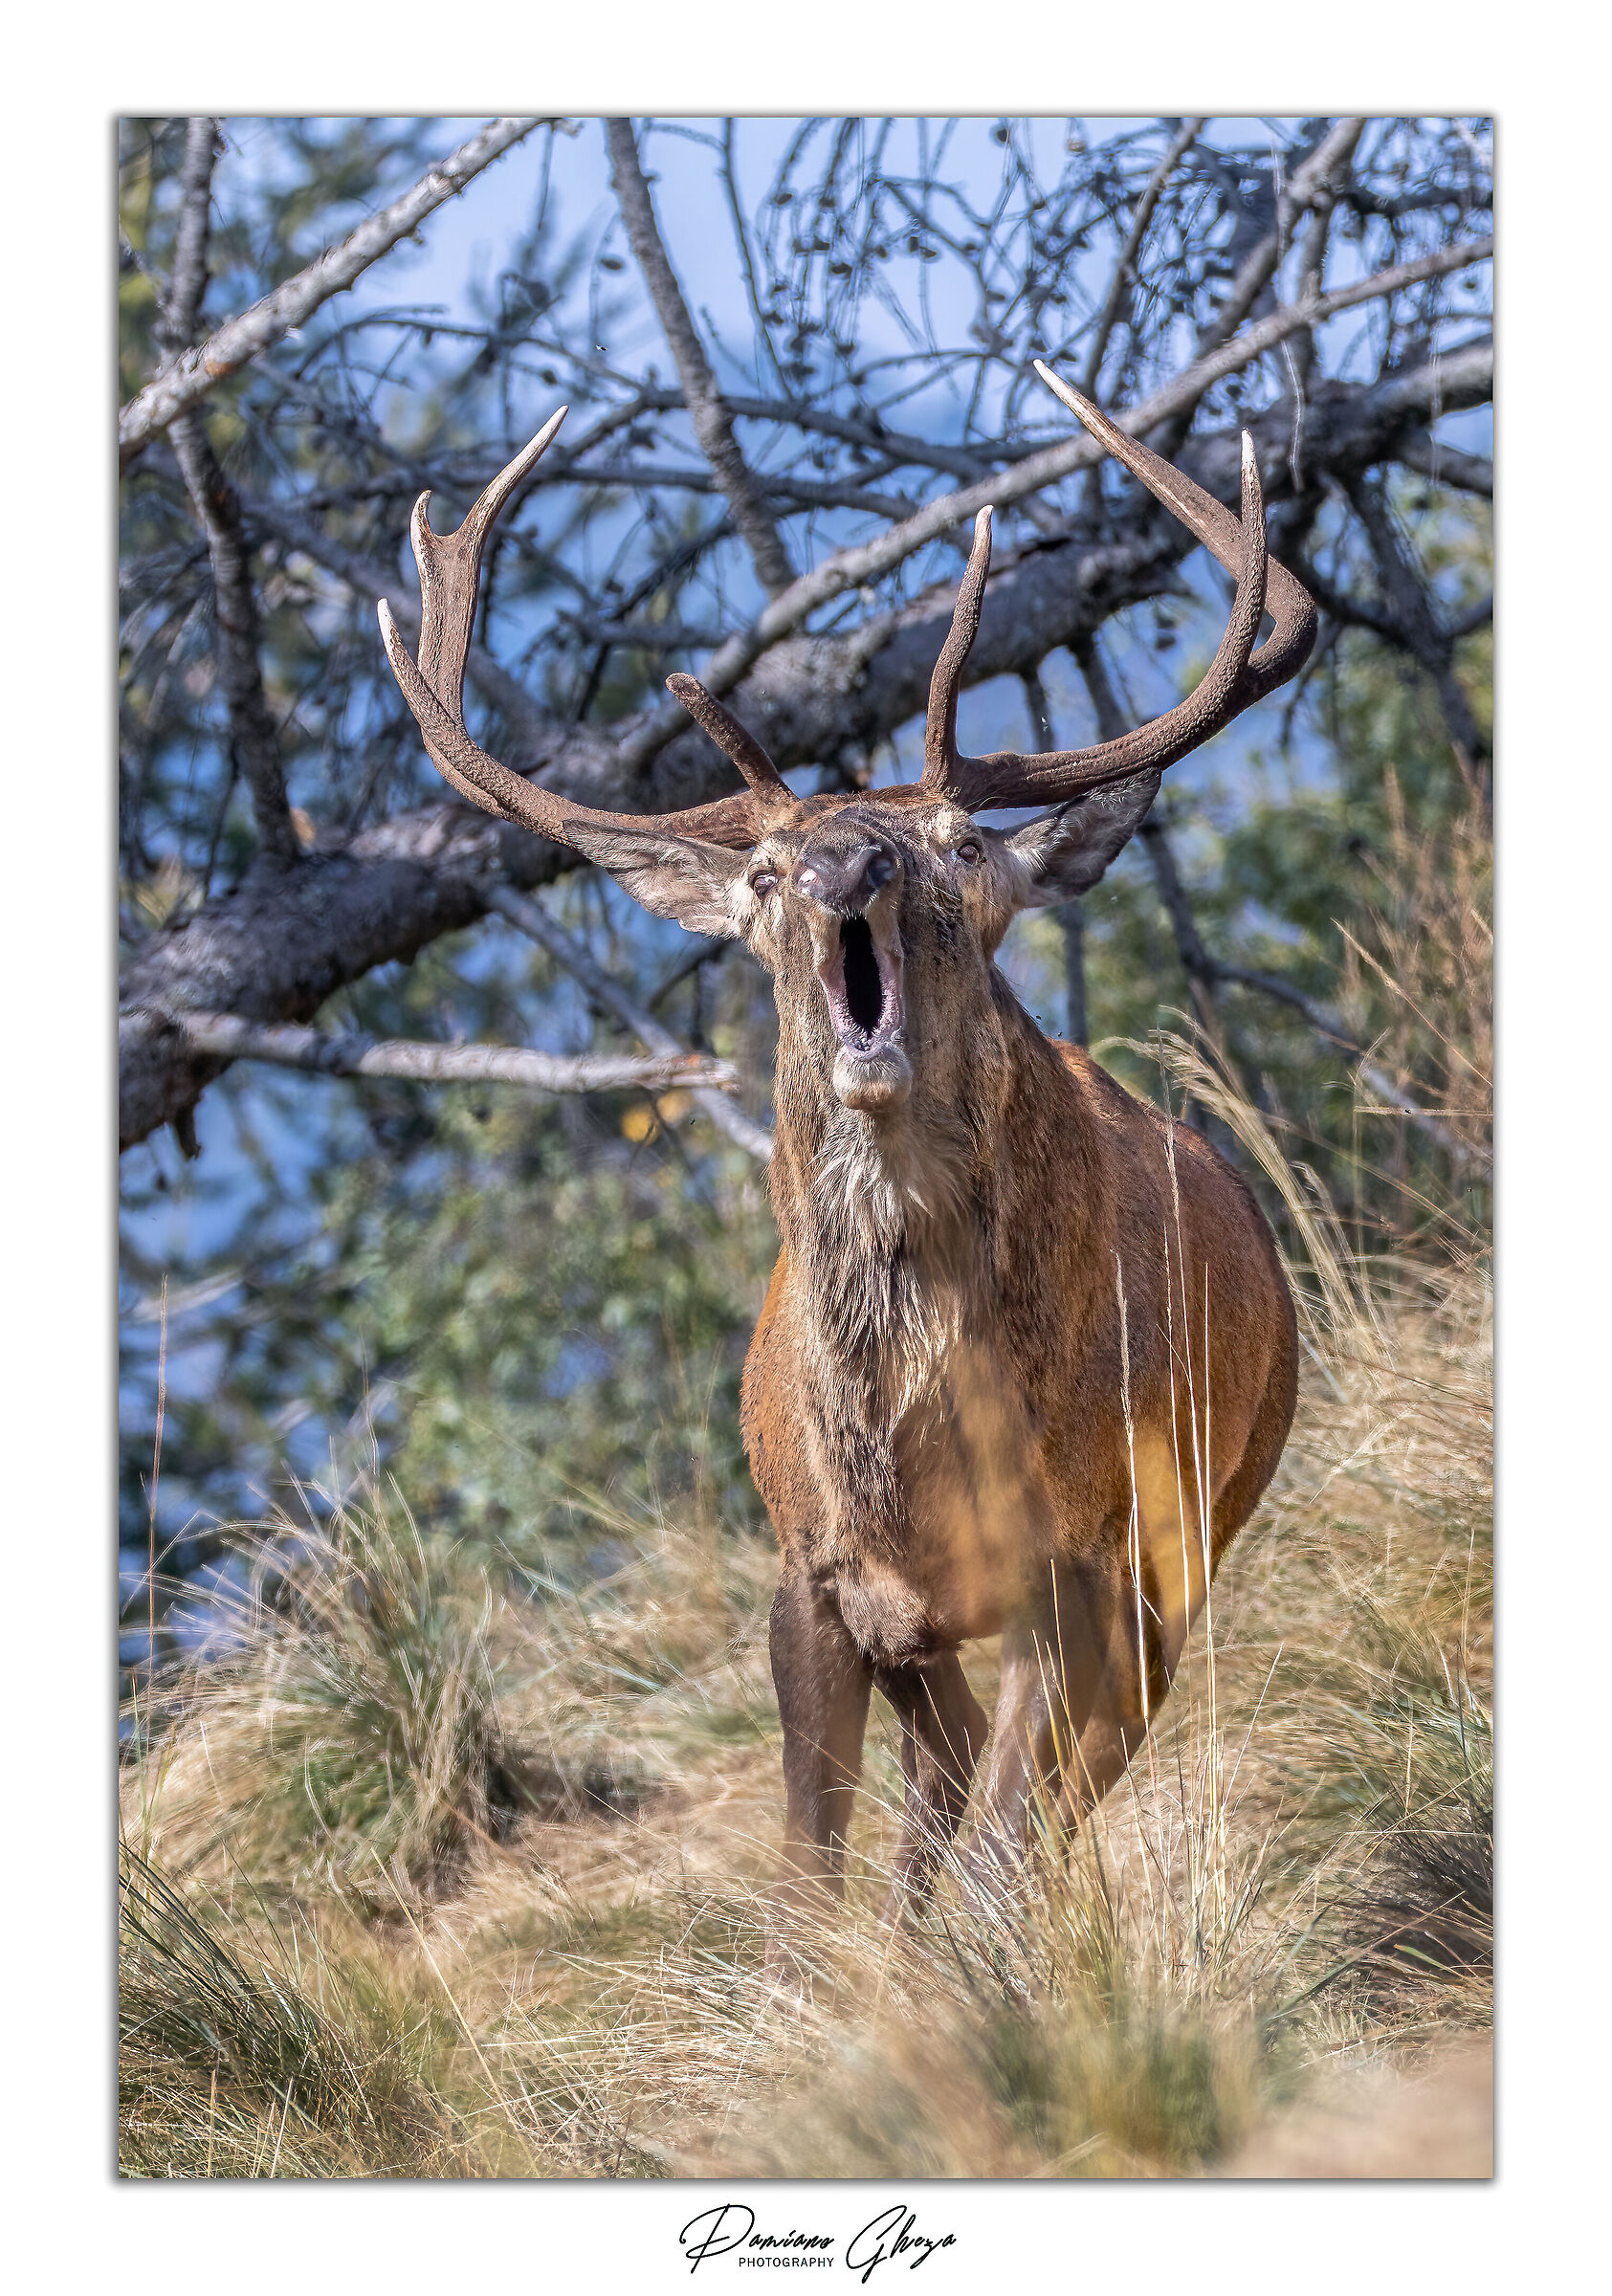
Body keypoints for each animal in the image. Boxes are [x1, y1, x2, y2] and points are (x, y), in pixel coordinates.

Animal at [377, 365, 1316, 1957]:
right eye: (764, 870)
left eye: (957, 845)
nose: (841, 867)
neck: (911, 1470)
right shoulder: (813, 1580)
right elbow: (807, 1879)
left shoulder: (1085, 1559)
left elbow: (1005, 1842)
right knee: (939, 1806)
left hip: (1204, 1523)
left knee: (1046, 1804)